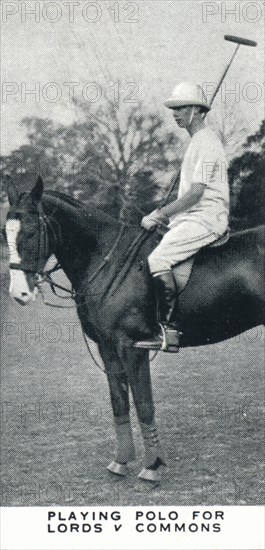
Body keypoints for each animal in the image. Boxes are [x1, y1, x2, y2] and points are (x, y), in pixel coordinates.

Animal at [4, 178, 264, 484]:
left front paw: (152, 467)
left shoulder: (133, 347)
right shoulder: (107, 347)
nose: (19, 294)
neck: (107, 261)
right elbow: (119, 403)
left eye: (32, 231)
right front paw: (121, 462)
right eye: (5, 232)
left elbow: (144, 404)